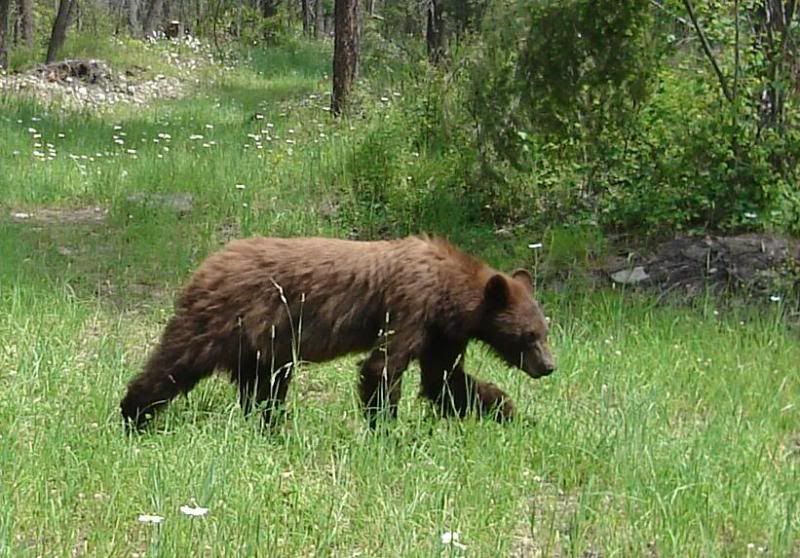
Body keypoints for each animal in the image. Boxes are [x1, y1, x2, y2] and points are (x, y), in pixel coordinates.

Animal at [120, 234, 556, 430]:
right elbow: (383, 366)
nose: (549, 366)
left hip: (262, 342)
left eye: (544, 330)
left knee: (263, 383)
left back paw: (269, 424)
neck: (449, 293)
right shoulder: (411, 307)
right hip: (221, 320)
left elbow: (444, 379)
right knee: (175, 362)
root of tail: (205, 265)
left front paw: (506, 409)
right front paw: (385, 429)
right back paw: (133, 414)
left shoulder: (443, 334)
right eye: (530, 335)